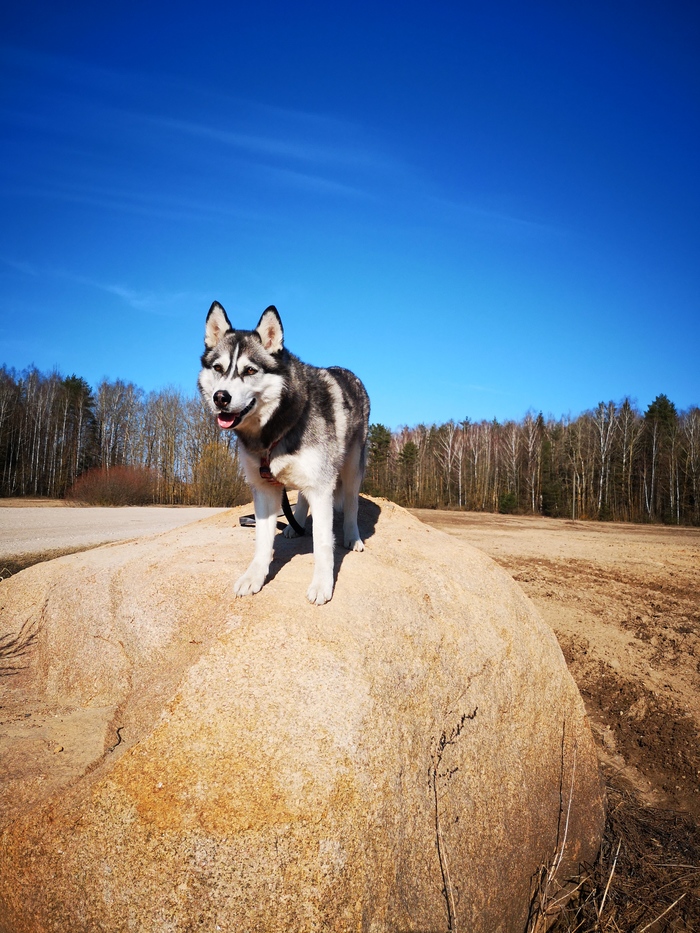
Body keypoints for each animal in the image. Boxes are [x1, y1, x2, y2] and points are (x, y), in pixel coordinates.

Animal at [198, 298, 372, 604]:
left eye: (250, 370)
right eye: (218, 368)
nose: (221, 397)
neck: (274, 429)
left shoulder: (322, 486)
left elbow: (323, 543)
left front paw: (322, 584)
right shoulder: (264, 488)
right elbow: (261, 541)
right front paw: (254, 577)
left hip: (351, 467)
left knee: (351, 503)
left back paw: (353, 537)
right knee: (301, 497)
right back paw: (296, 523)